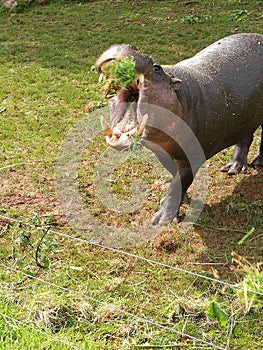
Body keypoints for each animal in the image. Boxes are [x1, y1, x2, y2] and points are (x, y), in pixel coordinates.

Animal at [96, 34, 263, 226]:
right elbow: (174, 175)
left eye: (157, 67)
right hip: (246, 115)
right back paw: (233, 167)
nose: (125, 46)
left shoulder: (191, 158)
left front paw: (161, 219)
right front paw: (169, 192)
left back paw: (258, 162)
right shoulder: (162, 153)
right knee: (245, 137)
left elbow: (178, 185)